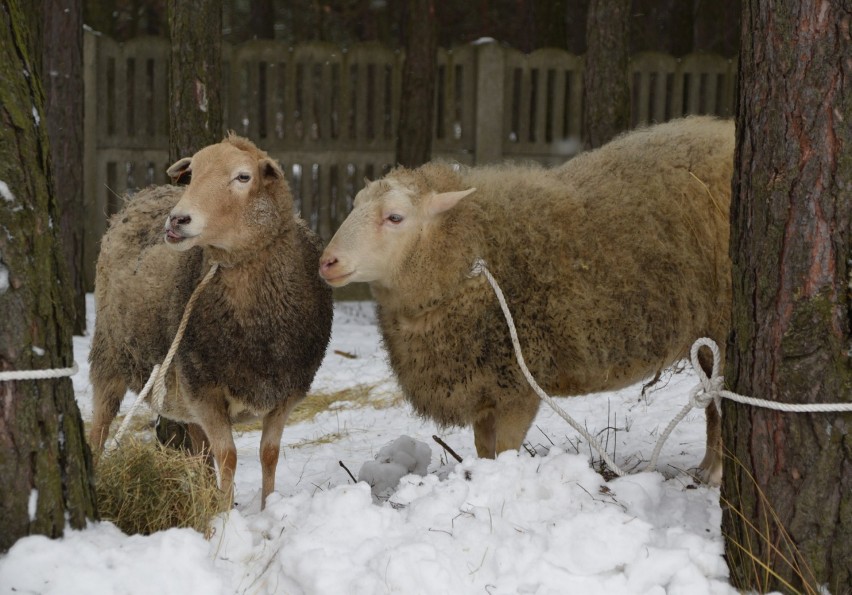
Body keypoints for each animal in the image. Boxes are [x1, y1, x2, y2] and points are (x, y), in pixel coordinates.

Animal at [89, 134, 332, 508]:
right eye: (192, 174)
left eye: (243, 177)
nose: (177, 220)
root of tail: (138, 196)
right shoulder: (205, 390)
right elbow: (228, 456)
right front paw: (227, 515)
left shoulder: (286, 392)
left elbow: (269, 454)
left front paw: (268, 506)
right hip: (110, 355)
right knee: (99, 426)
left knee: (199, 447)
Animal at [320, 116, 732, 484]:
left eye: (395, 217)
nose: (327, 262)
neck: (472, 252)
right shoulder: (484, 385)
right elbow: (483, 449)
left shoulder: (519, 384)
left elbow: (506, 450)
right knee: (713, 404)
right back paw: (704, 469)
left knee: (721, 404)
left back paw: (714, 474)